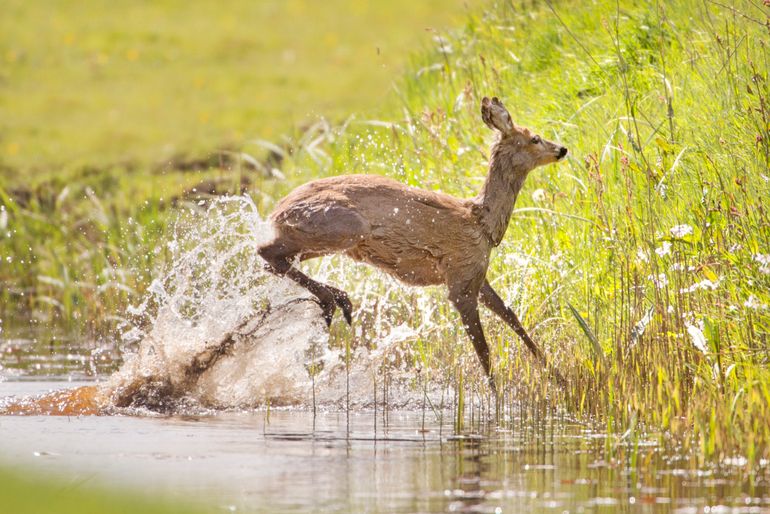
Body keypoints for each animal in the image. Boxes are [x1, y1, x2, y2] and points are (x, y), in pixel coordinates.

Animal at [260, 98, 568, 390]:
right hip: (344, 228)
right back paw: (335, 300)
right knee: (266, 252)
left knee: (274, 260)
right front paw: (496, 395)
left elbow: (512, 317)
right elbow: (483, 349)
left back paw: (332, 303)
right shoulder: (460, 277)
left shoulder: (476, 275)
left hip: (330, 239)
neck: (482, 223)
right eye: (535, 138)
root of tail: (277, 210)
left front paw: (559, 379)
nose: (562, 149)